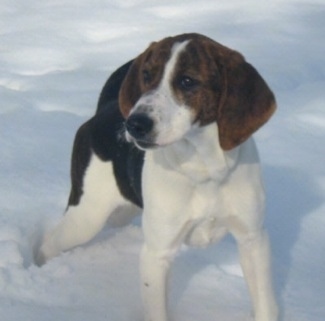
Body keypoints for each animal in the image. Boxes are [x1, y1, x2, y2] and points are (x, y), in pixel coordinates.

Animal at [36, 33, 278, 320]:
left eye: (187, 81)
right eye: (147, 75)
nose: (135, 124)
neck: (203, 169)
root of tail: (103, 110)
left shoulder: (253, 239)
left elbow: (266, 306)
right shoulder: (157, 254)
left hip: (120, 211)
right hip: (86, 217)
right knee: (49, 243)